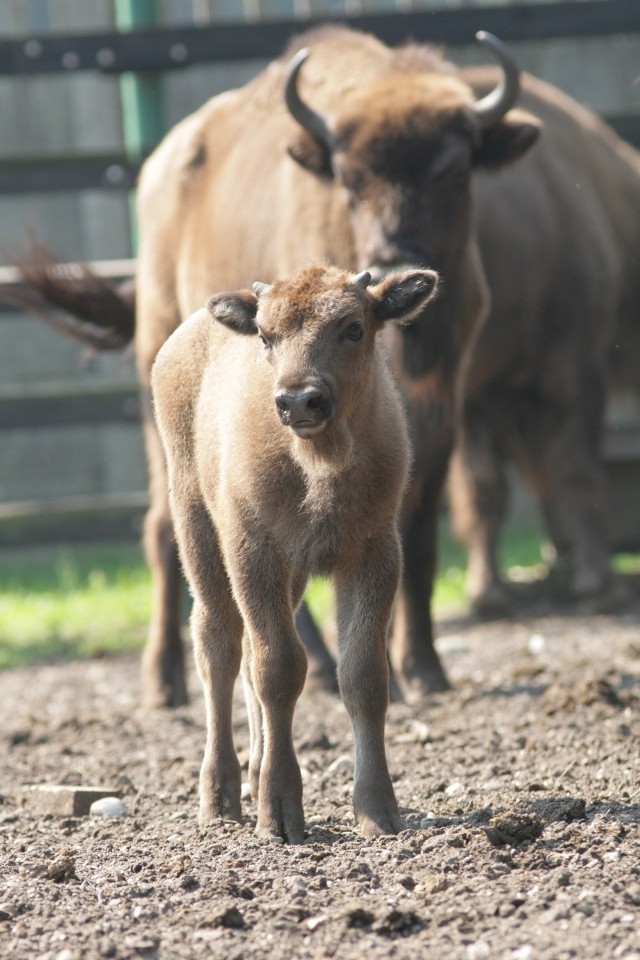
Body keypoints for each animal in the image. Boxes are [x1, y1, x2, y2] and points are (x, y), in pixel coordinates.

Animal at [152, 264, 438, 840]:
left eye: (354, 327)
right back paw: (219, 798)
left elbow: (364, 675)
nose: (298, 400)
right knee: (218, 645)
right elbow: (280, 668)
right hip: (196, 529)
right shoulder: (253, 553)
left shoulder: (373, 554)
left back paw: (252, 774)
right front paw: (279, 814)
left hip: (294, 578)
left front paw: (378, 811)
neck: (318, 464)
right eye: (266, 336)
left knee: (244, 663)